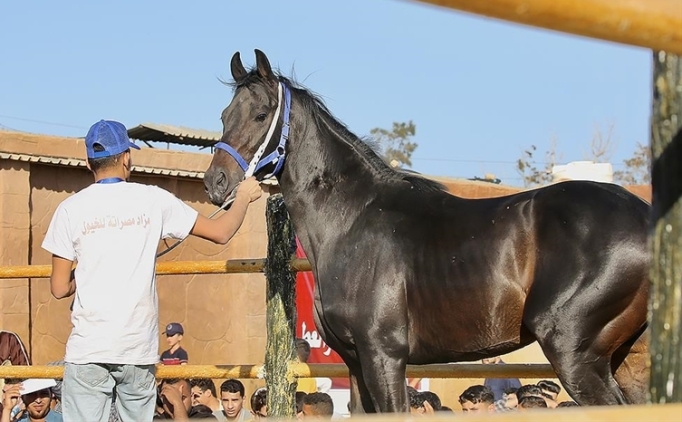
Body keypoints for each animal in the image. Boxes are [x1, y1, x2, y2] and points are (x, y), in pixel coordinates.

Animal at [205, 49, 652, 412]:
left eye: (261, 114)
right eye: (225, 116)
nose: (216, 183)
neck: (351, 220)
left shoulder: (384, 355)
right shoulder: (354, 361)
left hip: (574, 352)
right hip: (630, 358)